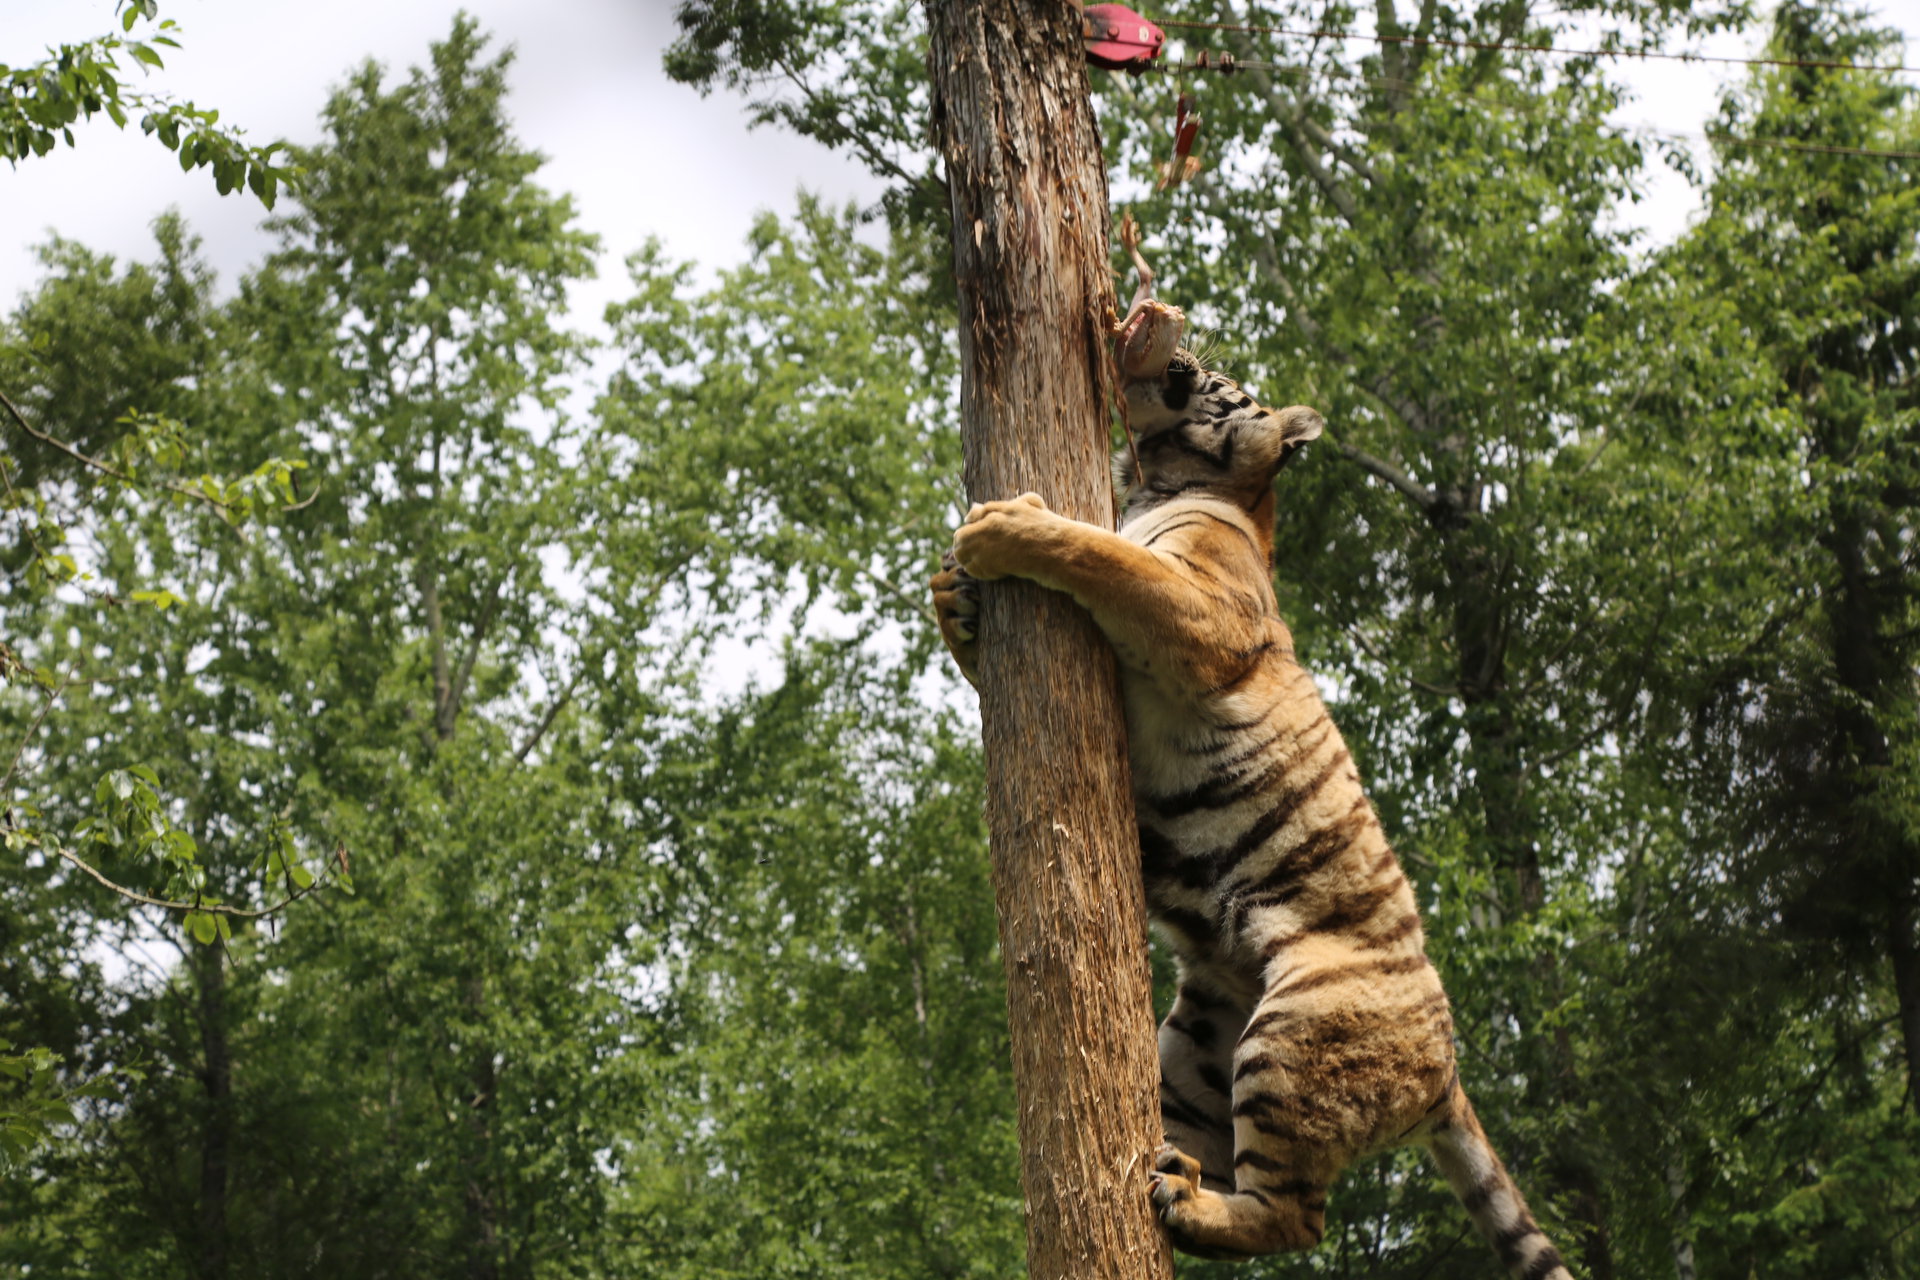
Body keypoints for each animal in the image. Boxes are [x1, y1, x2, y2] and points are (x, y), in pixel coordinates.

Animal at [928, 344, 1573, 1280]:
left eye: (1216, 374)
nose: (1180, 351)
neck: (1162, 485)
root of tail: (1448, 1073)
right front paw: (954, 595)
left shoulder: (1197, 610)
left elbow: (1100, 555)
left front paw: (1008, 525)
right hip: (1196, 1053)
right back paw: (1175, 1182)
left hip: (1294, 1037)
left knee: (1298, 1219)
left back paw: (1190, 1205)